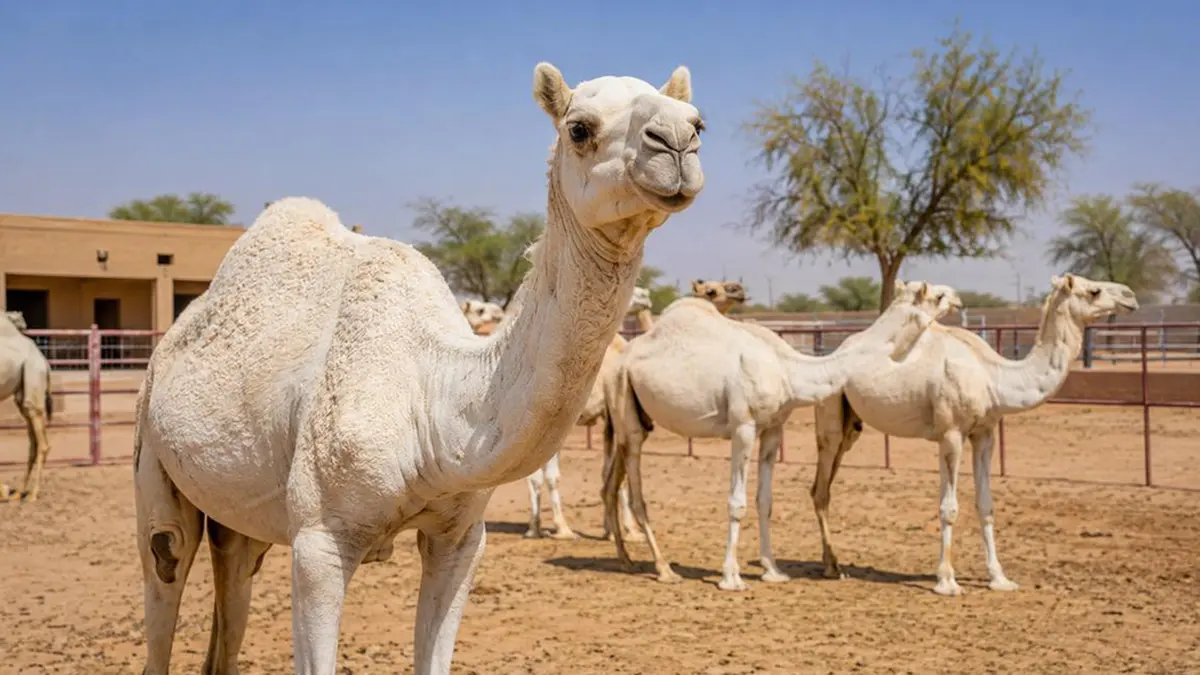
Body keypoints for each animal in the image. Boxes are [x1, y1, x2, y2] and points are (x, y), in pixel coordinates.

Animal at [0, 310, 53, 503]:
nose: (25, 324)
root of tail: (44, 361)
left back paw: (33, 494)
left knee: (42, 443)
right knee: (33, 442)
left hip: (33, 375)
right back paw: (19, 493)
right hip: (23, 393)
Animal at [133, 61, 705, 675]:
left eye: (699, 121)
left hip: (240, 523)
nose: (677, 140)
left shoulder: (460, 538)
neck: (434, 400)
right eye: (579, 128)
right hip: (154, 467)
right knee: (165, 566)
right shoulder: (318, 542)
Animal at [602, 286, 937, 589]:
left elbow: (765, 500)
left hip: (634, 418)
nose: (950, 297)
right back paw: (664, 568)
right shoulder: (743, 427)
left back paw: (626, 559)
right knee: (635, 489)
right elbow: (737, 502)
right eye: (936, 296)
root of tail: (618, 361)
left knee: (612, 481)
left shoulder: (774, 428)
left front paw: (773, 570)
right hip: (623, 399)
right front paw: (731, 577)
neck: (787, 370)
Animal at [810, 273, 1138, 596]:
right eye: (1094, 291)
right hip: (830, 416)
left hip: (852, 428)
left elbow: (986, 504)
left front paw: (1000, 578)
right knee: (820, 487)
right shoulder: (952, 433)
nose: (1130, 296)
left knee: (824, 485)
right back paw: (833, 567)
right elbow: (949, 508)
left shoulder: (983, 434)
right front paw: (947, 582)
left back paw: (831, 564)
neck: (992, 376)